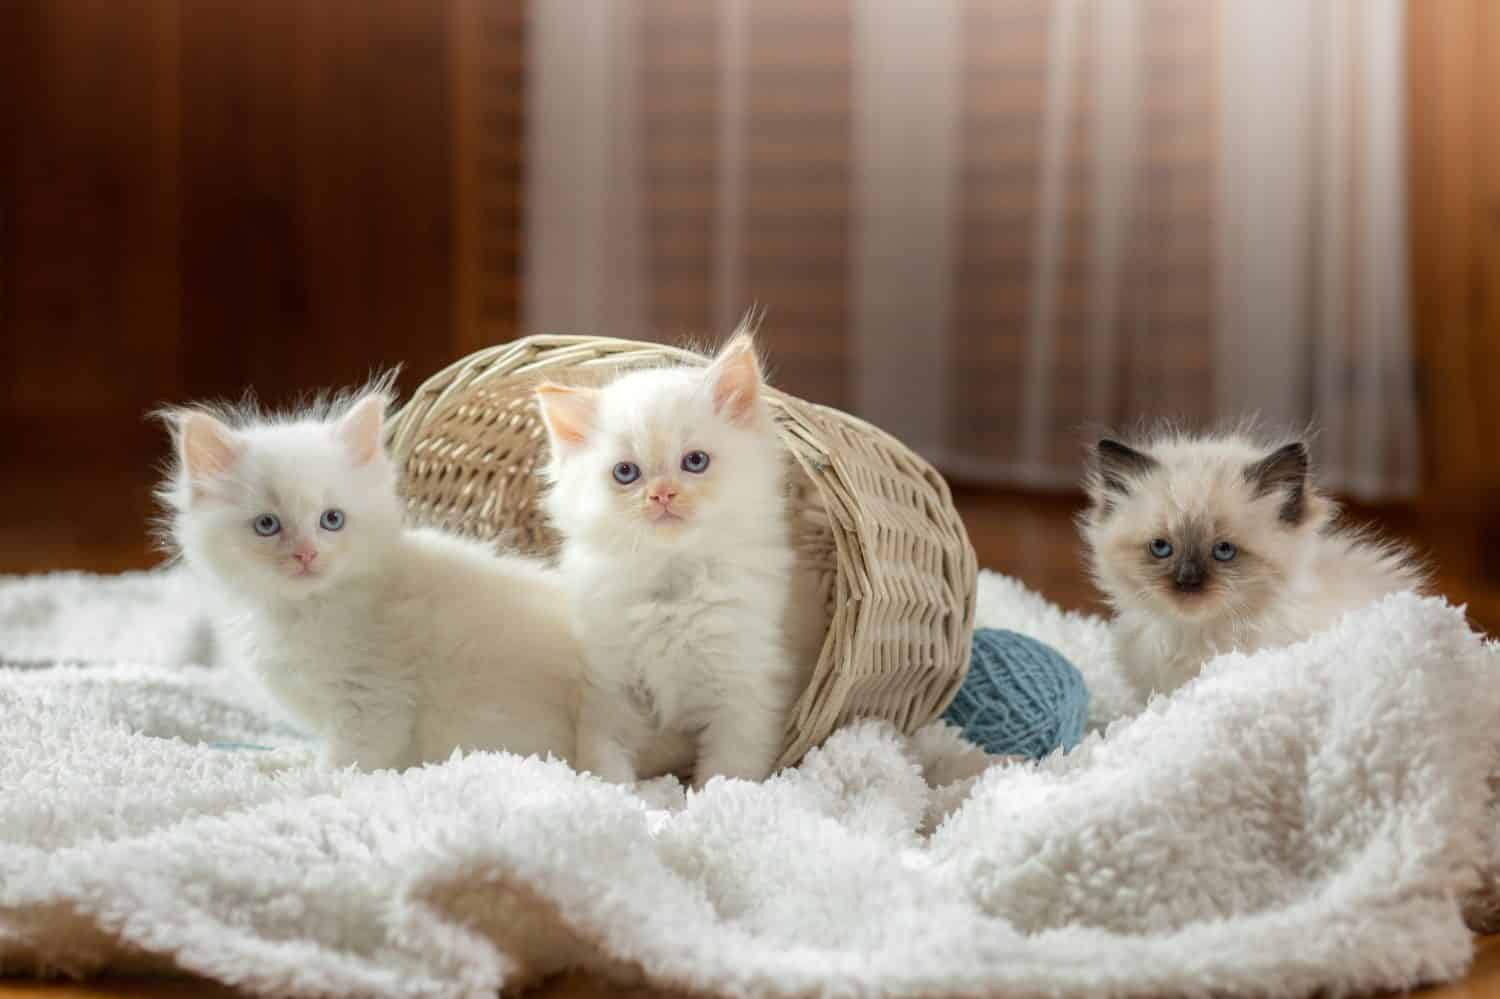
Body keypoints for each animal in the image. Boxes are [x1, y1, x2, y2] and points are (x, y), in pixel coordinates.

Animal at [156, 382, 579, 768]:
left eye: (332, 519)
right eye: (267, 525)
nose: (306, 554)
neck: (304, 611)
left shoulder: (373, 700)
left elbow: (345, 762)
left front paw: (312, 783)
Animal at [540, 327, 810, 786]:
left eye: (695, 461)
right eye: (626, 473)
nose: (662, 494)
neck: (671, 585)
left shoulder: (746, 691)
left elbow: (728, 773)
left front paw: (711, 800)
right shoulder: (610, 690)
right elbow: (604, 760)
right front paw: (617, 798)